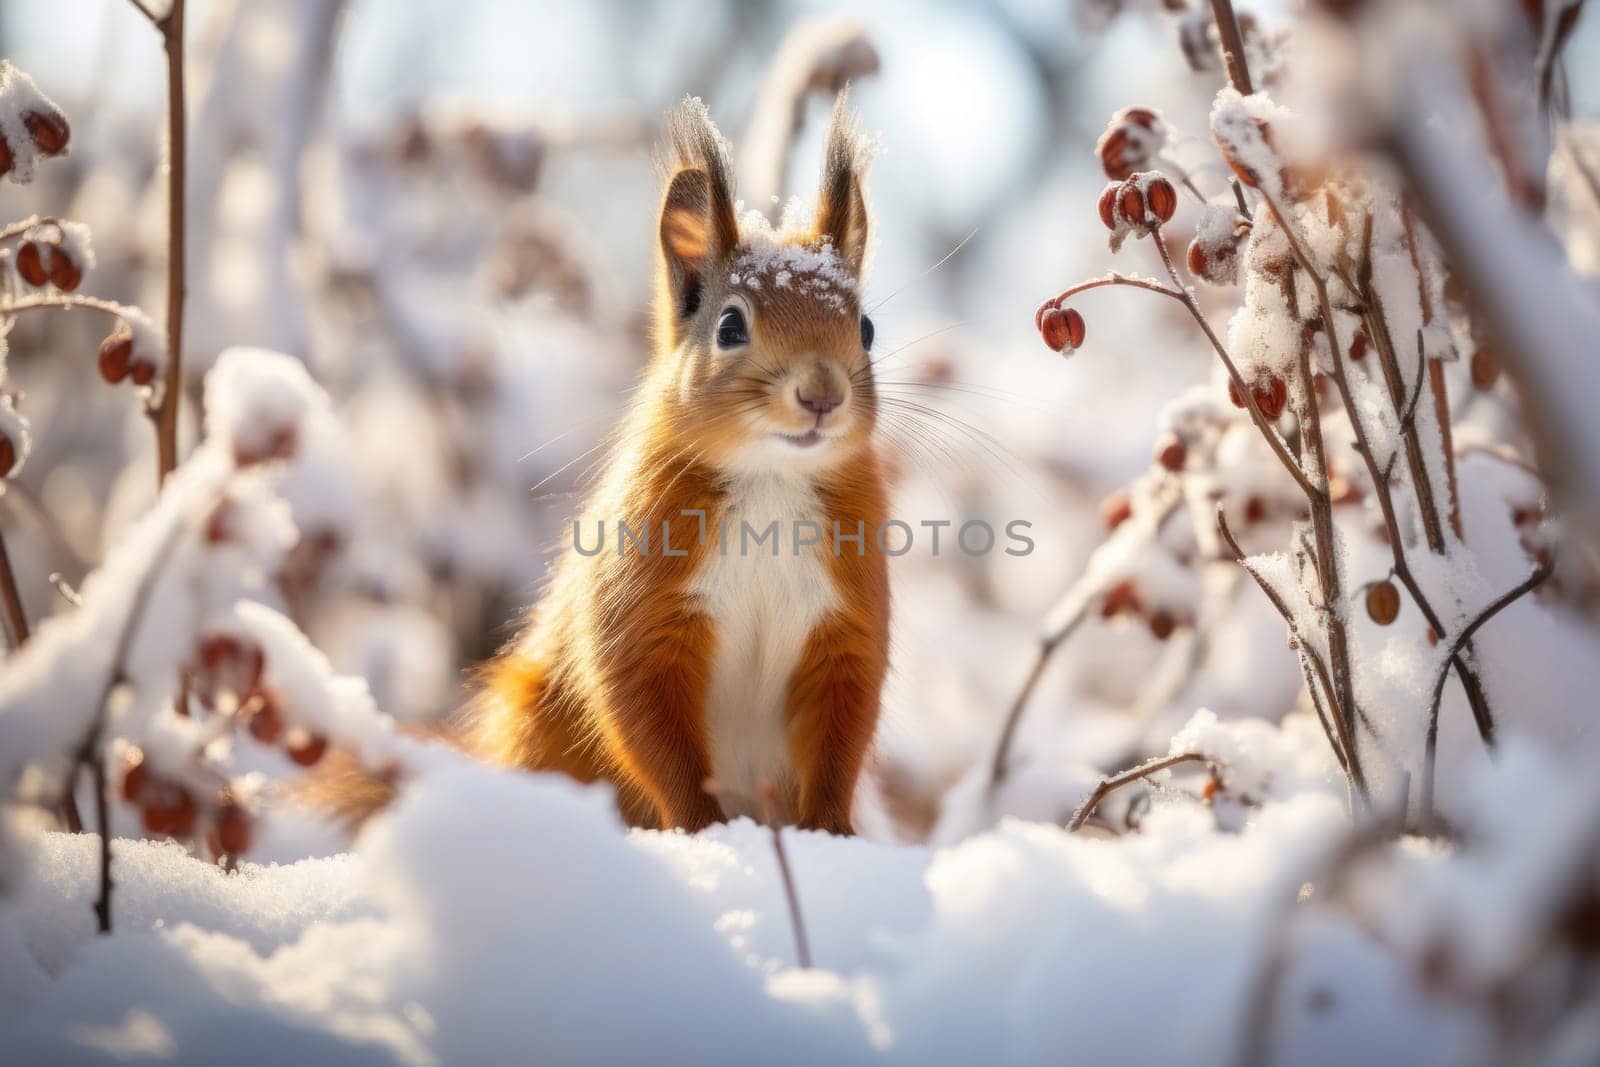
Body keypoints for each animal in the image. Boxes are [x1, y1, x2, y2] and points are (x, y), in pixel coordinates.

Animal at [312, 95, 889, 838]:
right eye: (731, 326)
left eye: (866, 329)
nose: (821, 395)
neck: (771, 480)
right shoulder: (641, 603)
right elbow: (648, 722)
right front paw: (703, 828)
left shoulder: (849, 623)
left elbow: (842, 737)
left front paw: (830, 834)